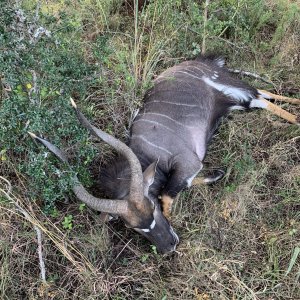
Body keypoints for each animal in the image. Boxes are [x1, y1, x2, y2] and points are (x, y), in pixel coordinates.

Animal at [29, 54, 298, 253]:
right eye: (133, 228)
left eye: (152, 207)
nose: (169, 246)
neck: (147, 154)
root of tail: (201, 61)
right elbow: (181, 185)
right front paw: (217, 175)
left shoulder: (189, 163)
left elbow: (168, 194)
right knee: (264, 92)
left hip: (230, 89)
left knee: (260, 97)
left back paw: (296, 120)